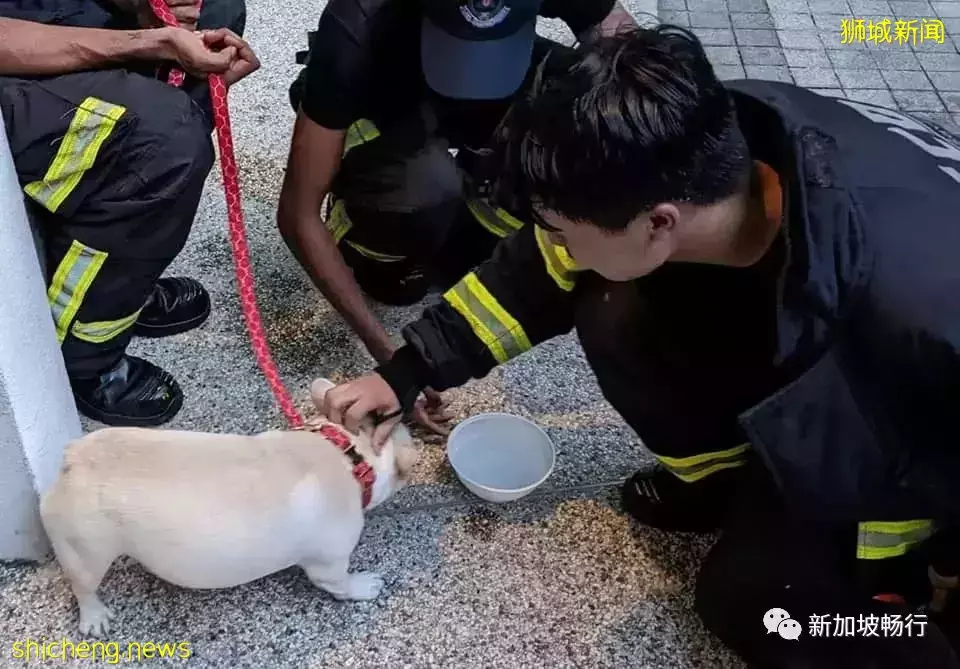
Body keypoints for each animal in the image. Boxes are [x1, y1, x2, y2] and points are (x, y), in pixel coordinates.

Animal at [39, 378, 418, 636]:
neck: (347, 454)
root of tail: (73, 457)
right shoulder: (330, 561)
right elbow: (340, 583)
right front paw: (364, 586)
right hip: (86, 550)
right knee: (83, 585)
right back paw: (94, 617)